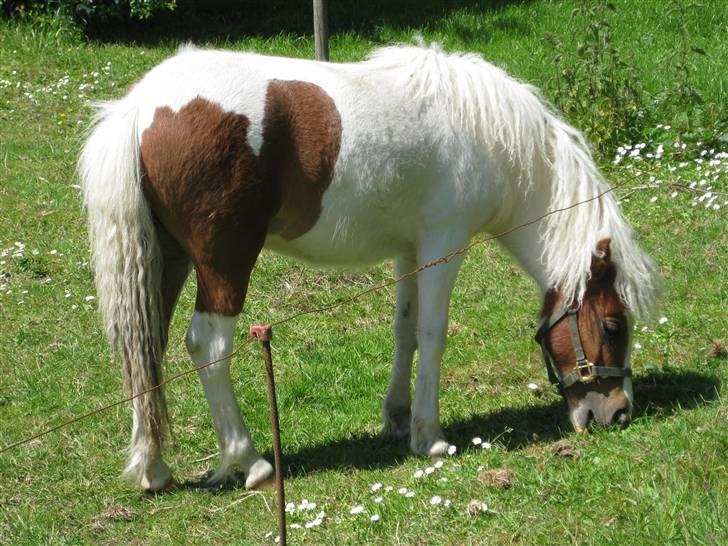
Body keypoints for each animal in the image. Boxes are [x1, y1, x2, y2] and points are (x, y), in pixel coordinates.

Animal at [78, 44, 660, 490]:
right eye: (613, 325)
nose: (618, 413)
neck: (493, 140)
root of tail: (140, 108)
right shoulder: (444, 244)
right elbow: (433, 333)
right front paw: (430, 436)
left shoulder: (410, 250)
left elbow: (405, 331)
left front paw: (398, 417)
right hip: (225, 263)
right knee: (208, 348)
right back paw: (251, 461)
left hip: (168, 260)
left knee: (145, 348)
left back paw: (153, 468)